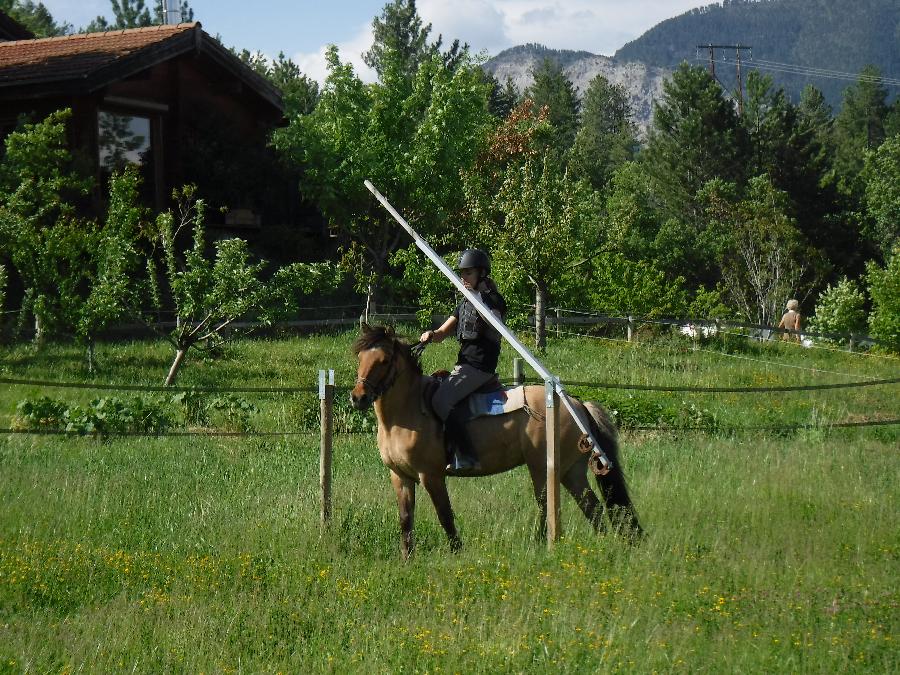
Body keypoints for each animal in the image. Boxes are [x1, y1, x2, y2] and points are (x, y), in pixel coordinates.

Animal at [350, 324, 640, 556]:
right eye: (360, 357)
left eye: (384, 360)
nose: (358, 397)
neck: (407, 411)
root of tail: (577, 404)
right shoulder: (400, 476)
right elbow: (405, 519)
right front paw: (407, 559)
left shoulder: (430, 475)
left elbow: (445, 516)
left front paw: (457, 553)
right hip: (572, 471)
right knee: (592, 508)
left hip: (542, 468)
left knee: (546, 505)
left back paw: (539, 544)